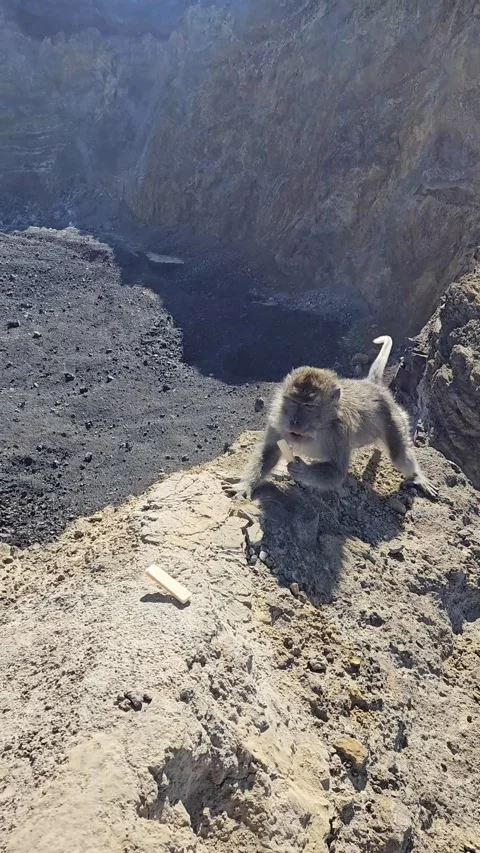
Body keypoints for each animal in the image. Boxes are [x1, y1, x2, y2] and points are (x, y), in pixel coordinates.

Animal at [231, 335, 437, 500]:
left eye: (309, 406)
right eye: (292, 402)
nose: (295, 421)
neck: (319, 428)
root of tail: (372, 386)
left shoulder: (340, 433)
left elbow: (337, 472)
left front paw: (302, 470)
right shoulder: (278, 420)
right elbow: (270, 451)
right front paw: (246, 485)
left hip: (394, 418)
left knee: (398, 455)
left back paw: (416, 476)